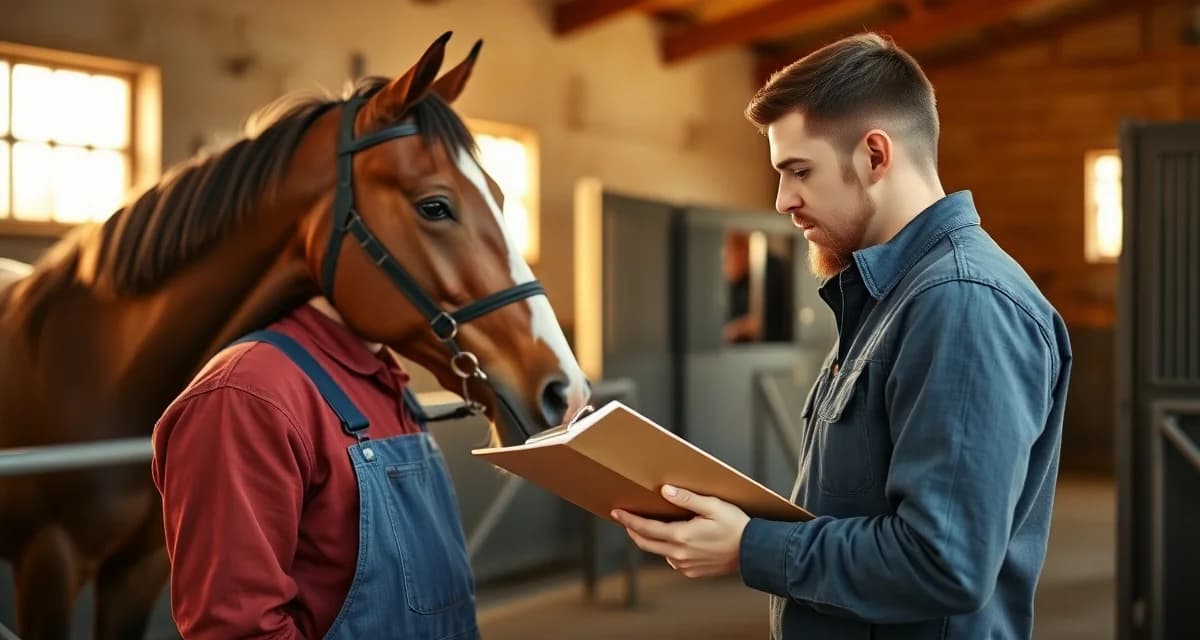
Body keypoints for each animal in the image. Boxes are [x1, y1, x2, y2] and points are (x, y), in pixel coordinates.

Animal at [0, 32, 590, 639]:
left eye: (502, 196)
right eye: (435, 206)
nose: (567, 393)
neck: (104, 369)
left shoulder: (136, 572)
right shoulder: (48, 562)